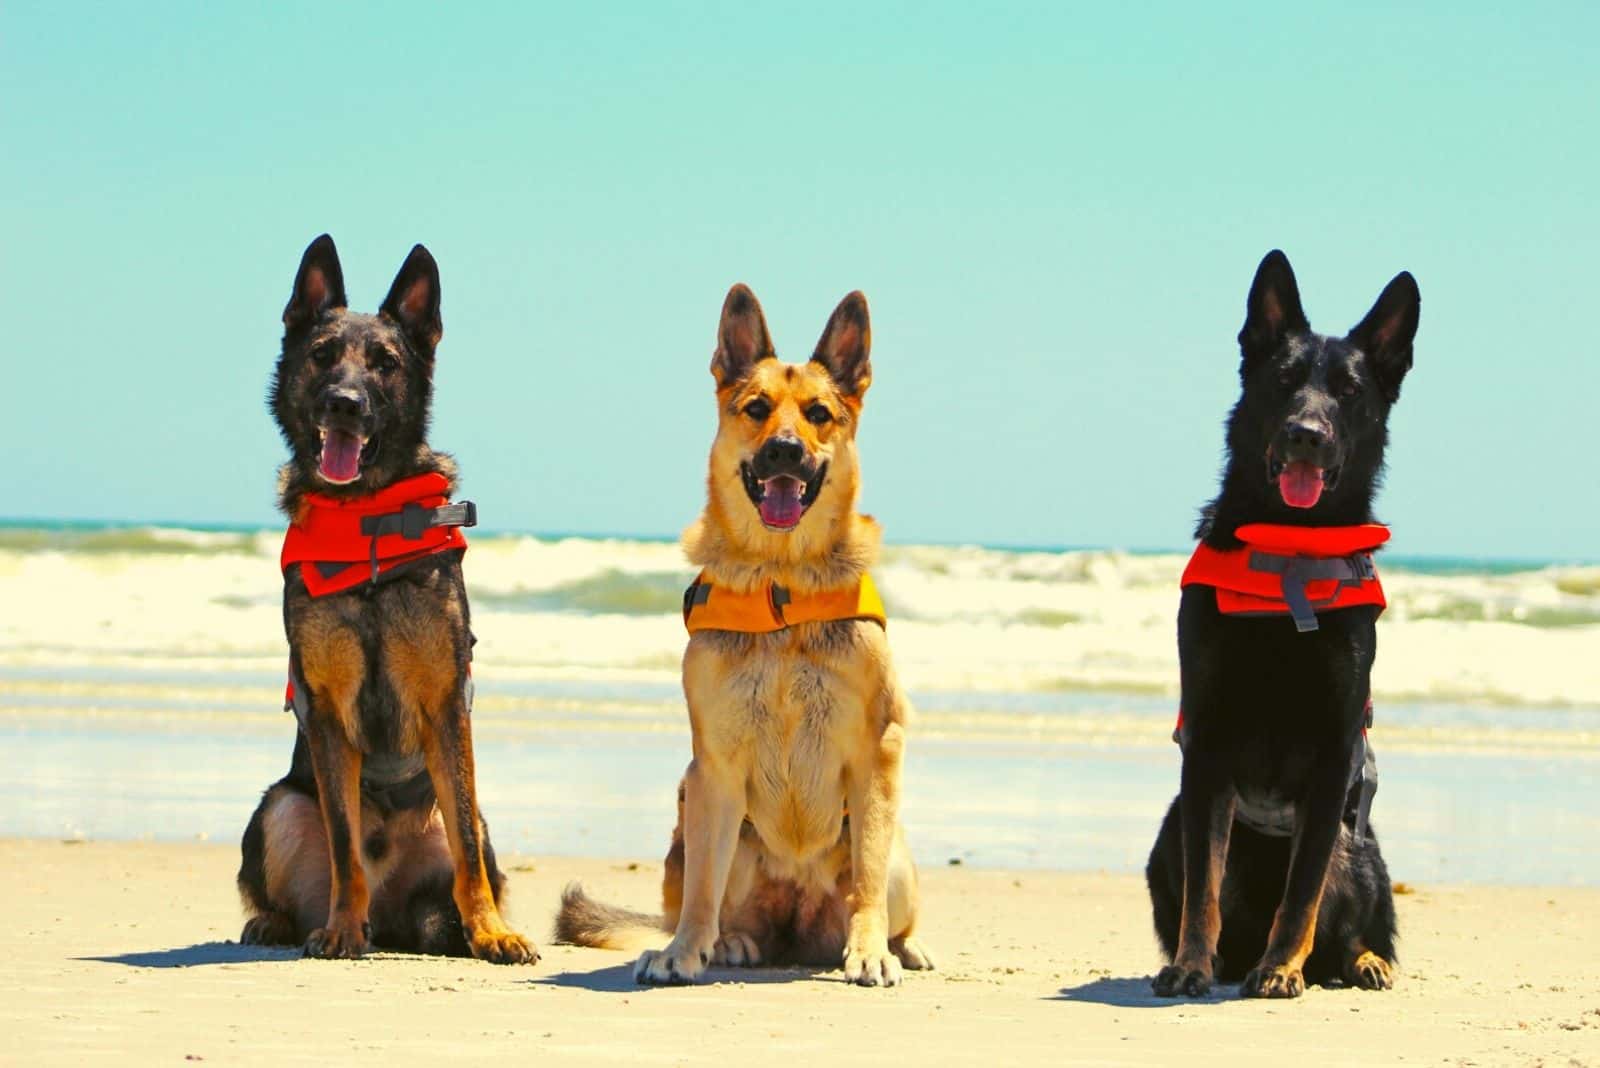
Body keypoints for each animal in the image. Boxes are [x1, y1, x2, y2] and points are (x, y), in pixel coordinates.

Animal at [235, 235, 537, 965]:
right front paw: (342, 928)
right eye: (322, 355)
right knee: (302, 876)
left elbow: (465, 848)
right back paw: (286, 923)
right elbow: (345, 845)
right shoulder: (325, 713)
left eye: (385, 363)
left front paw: (492, 931)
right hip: (278, 806)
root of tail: (396, 914)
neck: (365, 517)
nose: (345, 402)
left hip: (468, 818)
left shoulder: (447, 704)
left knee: (463, 856)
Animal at [563, 281, 934, 984]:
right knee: (709, 893)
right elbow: (702, 891)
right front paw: (682, 951)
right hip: (692, 818)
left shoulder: (879, 749)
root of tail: (797, 931)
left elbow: (868, 878)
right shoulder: (714, 765)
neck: (779, 585)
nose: (784, 450)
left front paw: (871, 949)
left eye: (819, 414)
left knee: (878, 883)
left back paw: (900, 944)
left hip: (901, 851)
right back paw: (726, 941)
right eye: (756, 409)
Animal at [1145, 251, 1420, 1004]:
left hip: (1363, 847)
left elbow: (1302, 892)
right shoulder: (1207, 750)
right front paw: (1190, 965)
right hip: (1169, 827)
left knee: (1347, 926)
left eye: (1349, 391)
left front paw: (1281, 968)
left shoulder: (1332, 756)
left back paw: (1355, 962)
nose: (1307, 434)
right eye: (1285, 381)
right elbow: (1204, 886)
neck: (1288, 551)